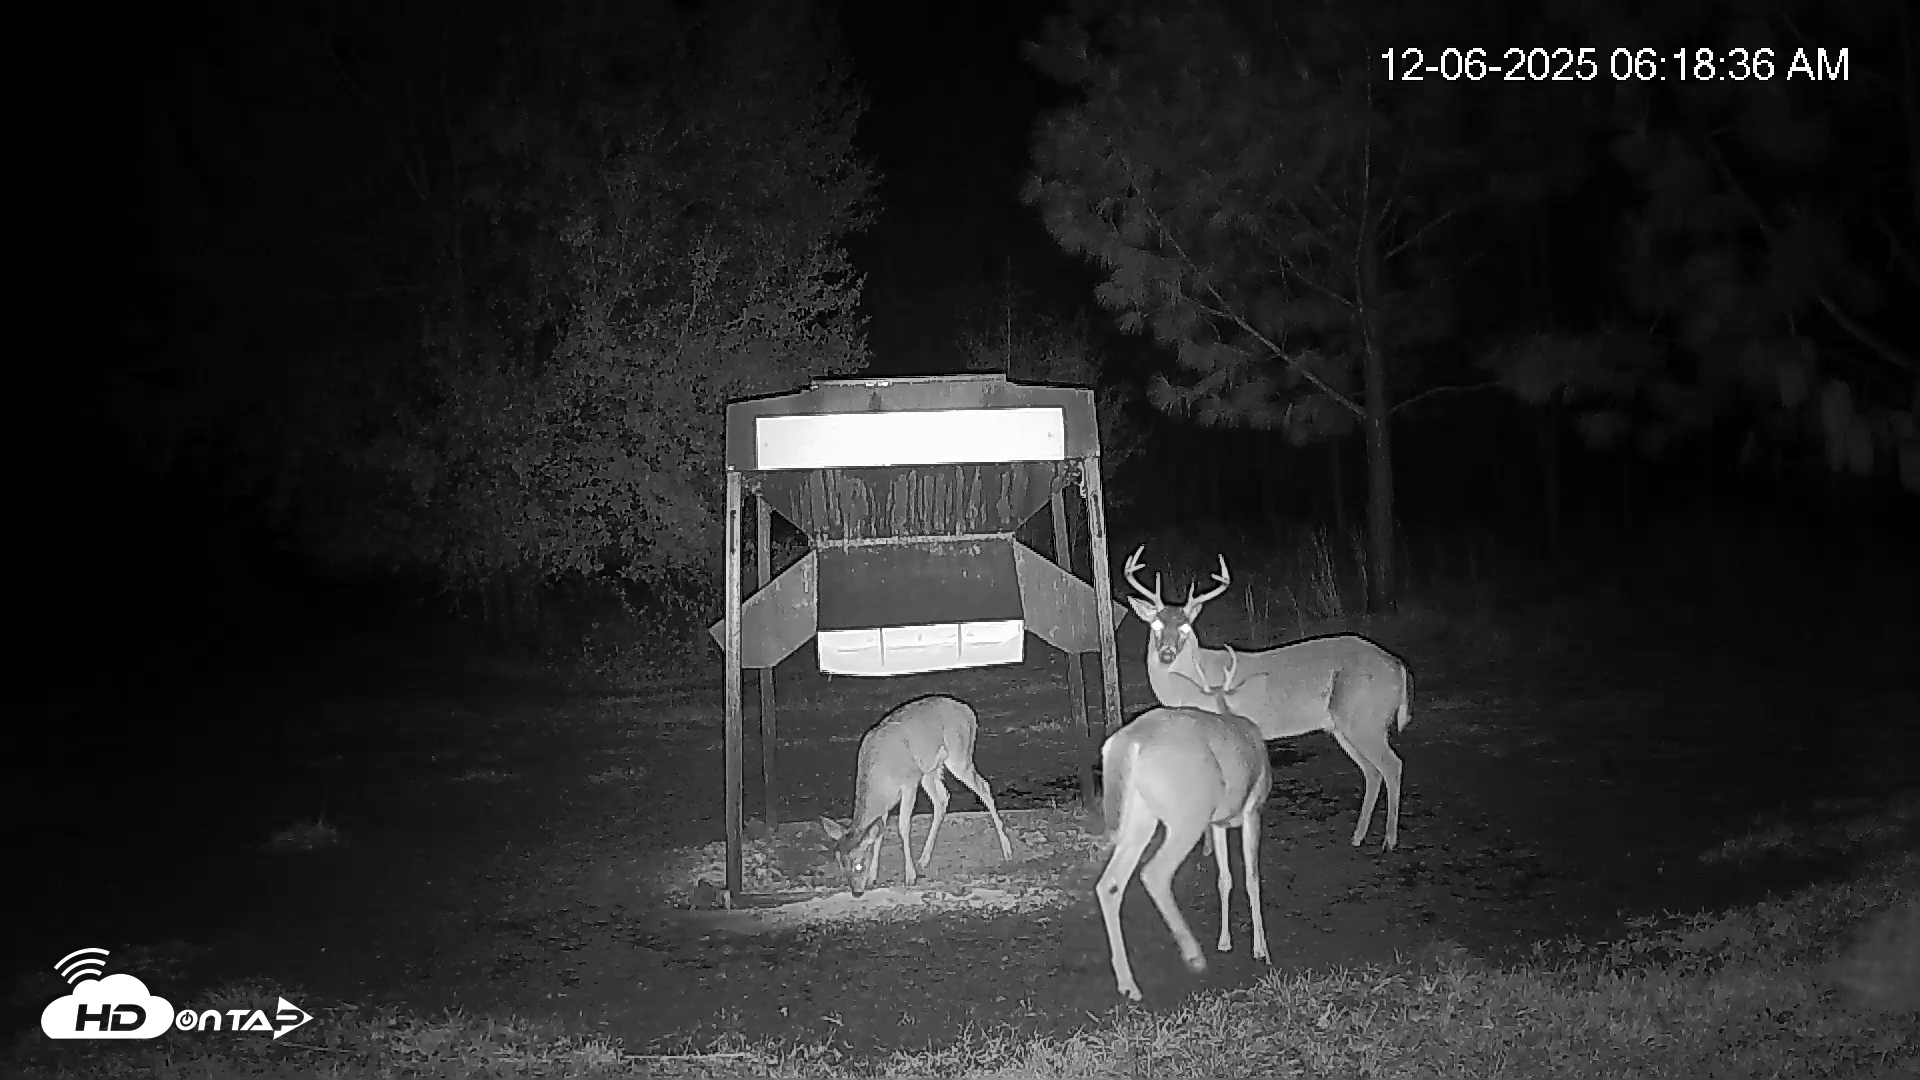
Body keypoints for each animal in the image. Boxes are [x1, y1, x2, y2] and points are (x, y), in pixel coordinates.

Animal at [819, 695, 1014, 897]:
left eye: (858, 864)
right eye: (841, 865)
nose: (856, 892)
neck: (879, 781)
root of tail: (969, 712)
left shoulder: (910, 782)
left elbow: (903, 826)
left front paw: (909, 877)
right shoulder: (886, 803)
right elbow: (879, 833)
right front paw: (873, 877)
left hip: (959, 755)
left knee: (984, 786)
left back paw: (1007, 851)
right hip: (930, 770)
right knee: (942, 798)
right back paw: (924, 859)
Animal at [1097, 645, 1273, 1002]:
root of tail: (1129, 741)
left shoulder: (1218, 823)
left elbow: (1225, 878)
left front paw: (1225, 941)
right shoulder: (1253, 809)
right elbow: (1251, 877)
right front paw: (1261, 950)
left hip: (1140, 816)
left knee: (1109, 884)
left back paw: (1128, 984)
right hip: (1187, 815)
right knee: (1154, 873)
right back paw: (1192, 955)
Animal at [1122, 544, 1414, 851]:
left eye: (1186, 627)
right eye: (1155, 625)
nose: (1166, 654)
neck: (1190, 683)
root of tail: (1398, 665)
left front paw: (1208, 848)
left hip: (1366, 718)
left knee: (1392, 766)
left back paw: (1389, 840)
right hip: (1345, 725)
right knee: (1372, 771)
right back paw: (1358, 836)